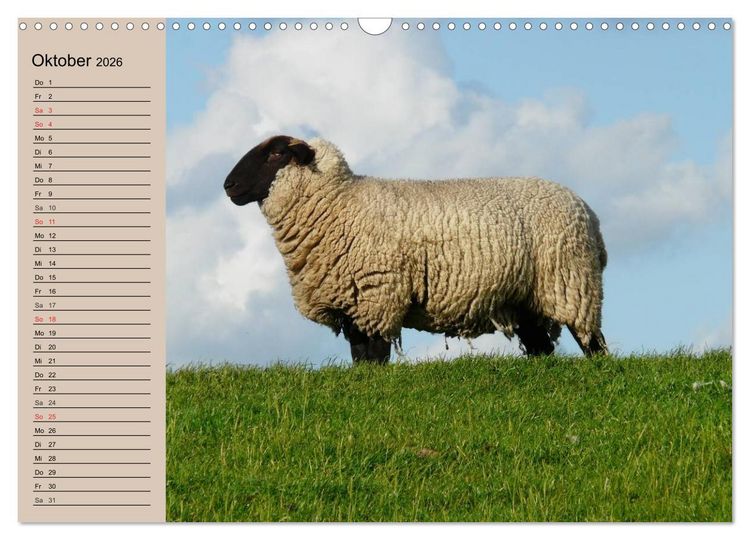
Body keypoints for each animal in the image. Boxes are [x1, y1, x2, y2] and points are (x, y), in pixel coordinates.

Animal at [223, 135, 609, 364]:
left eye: (275, 153)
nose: (228, 185)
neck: (338, 203)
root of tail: (588, 212)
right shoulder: (353, 303)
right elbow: (359, 356)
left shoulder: (377, 296)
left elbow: (374, 355)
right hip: (527, 297)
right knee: (541, 347)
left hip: (572, 282)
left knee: (592, 340)